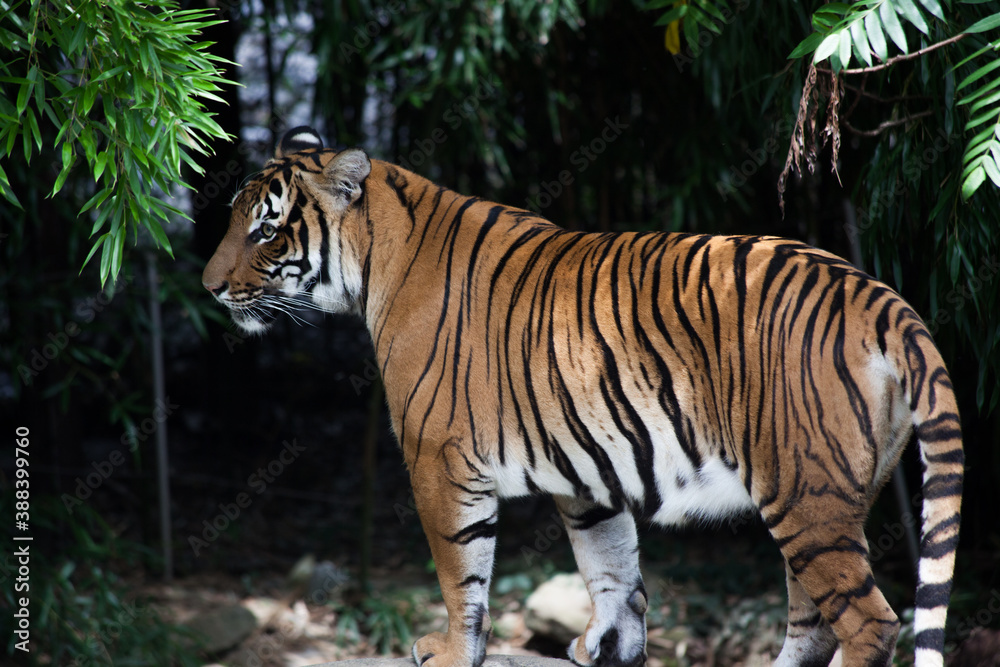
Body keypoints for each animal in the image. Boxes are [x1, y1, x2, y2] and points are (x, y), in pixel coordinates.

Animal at [202, 126, 963, 667]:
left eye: (265, 229)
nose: (208, 286)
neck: (374, 259)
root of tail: (880, 295)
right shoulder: (588, 470)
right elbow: (612, 565)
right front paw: (610, 646)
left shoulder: (438, 460)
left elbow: (461, 572)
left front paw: (451, 651)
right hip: (830, 494)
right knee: (814, 623)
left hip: (805, 492)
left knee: (870, 623)